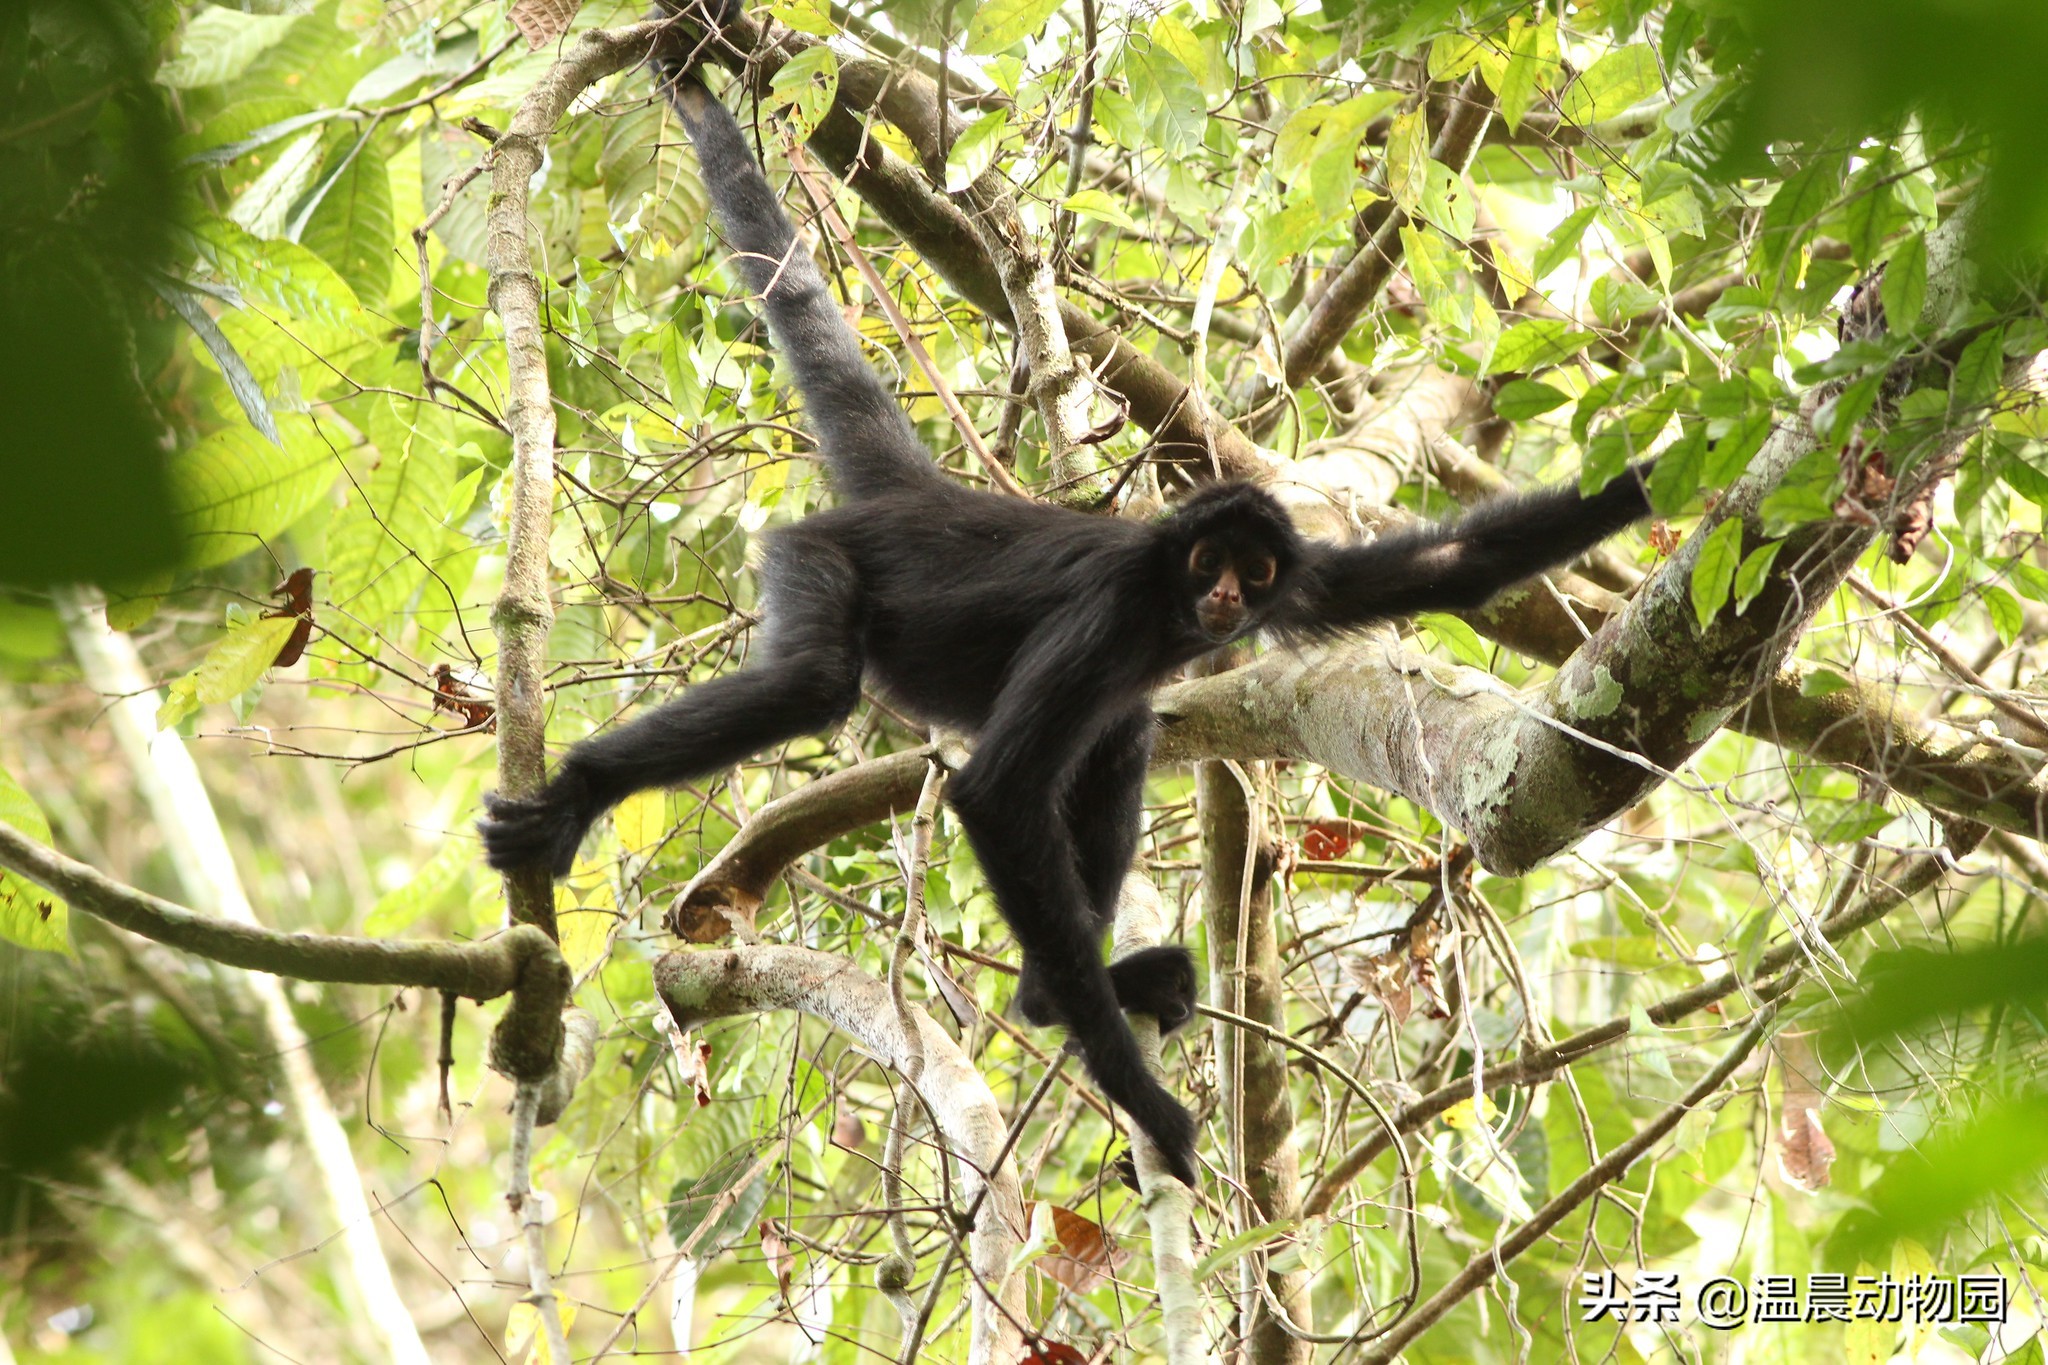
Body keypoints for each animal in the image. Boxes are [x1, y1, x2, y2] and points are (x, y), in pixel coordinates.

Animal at [471, 48, 1654, 1186]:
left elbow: (1449, 570)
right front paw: (1143, 1100)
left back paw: (1058, 989)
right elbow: (996, 794)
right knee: (822, 686)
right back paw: (582, 794)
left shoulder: (1300, 575)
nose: (1227, 600)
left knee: (1118, 738)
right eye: (1209, 562)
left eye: (1255, 567)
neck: (1169, 602)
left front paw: (1647, 488)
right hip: (814, 558)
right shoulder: (1115, 610)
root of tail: (920, 498)